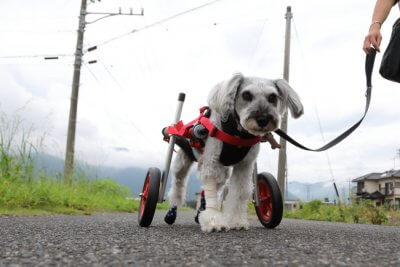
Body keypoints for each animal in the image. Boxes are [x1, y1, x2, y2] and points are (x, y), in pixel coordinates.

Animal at [164, 73, 302, 232]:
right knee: (178, 183)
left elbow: (239, 193)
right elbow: (212, 192)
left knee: (207, 189)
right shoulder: (212, 163)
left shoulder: (244, 166)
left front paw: (236, 221)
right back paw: (172, 209)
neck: (239, 133)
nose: (262, 119)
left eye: (272, 97)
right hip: (183, 161)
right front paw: (213, 221)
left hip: (223, 173)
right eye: (246, 94)